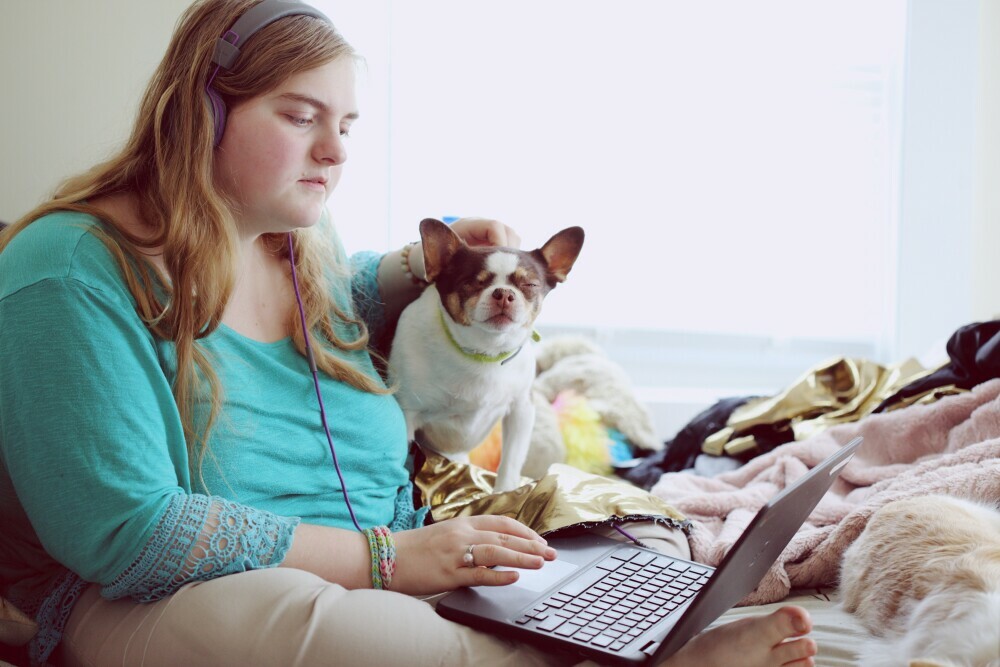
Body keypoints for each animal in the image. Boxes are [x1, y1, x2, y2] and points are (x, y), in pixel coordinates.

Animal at [386, 218, 584, 490]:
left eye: (530, 285)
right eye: (472, 282)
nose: (504, 293)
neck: (484, 354)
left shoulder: (521, 410)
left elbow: (510, 461)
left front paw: (505, 492)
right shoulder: (408, 414)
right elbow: (404, 465)